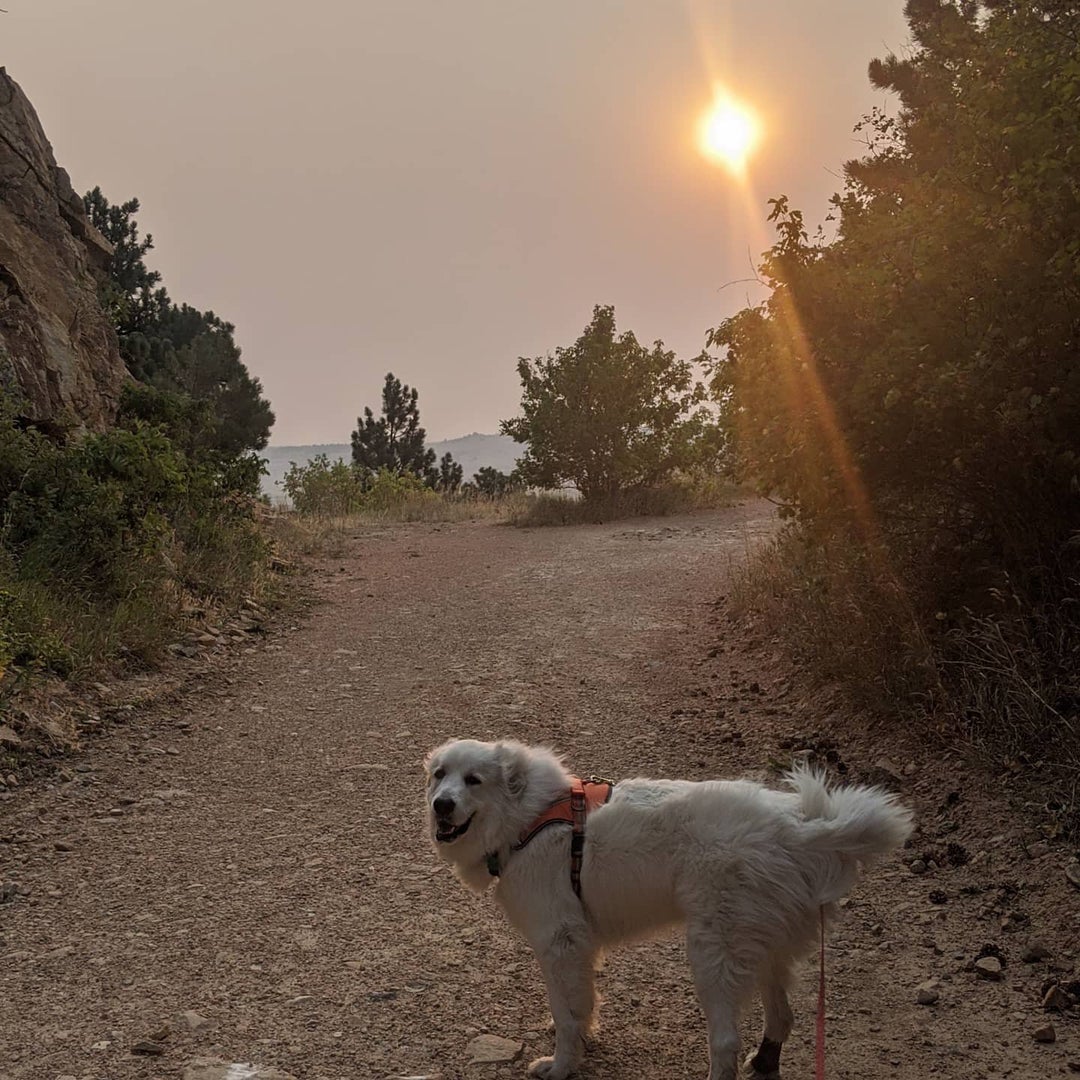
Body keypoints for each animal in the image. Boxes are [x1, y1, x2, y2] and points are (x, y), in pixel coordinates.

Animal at [423, 738, 911, 1080]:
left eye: (473, 780)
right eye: (439, 774)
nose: (441, 805)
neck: (526, 817)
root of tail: (798, 829)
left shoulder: (558, 941)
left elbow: (566, 1013)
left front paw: (561, 1065)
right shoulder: (580, 945)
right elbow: (581, 1002)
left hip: (714, 953)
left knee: (725, 1042)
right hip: (764, 945)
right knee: (782, 1016)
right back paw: (765, 1061)